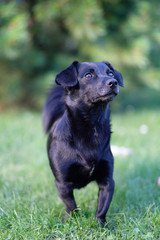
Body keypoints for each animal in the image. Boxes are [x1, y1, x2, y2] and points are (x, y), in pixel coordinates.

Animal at [42, 61, 124, 226]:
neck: (92, 126)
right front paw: (72, 221)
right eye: (88, 75)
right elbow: (71, 205)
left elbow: (102, 208)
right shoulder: (63, 183)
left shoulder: (107, 181)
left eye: (110, 73)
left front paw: (101, 226)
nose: (113, 82)